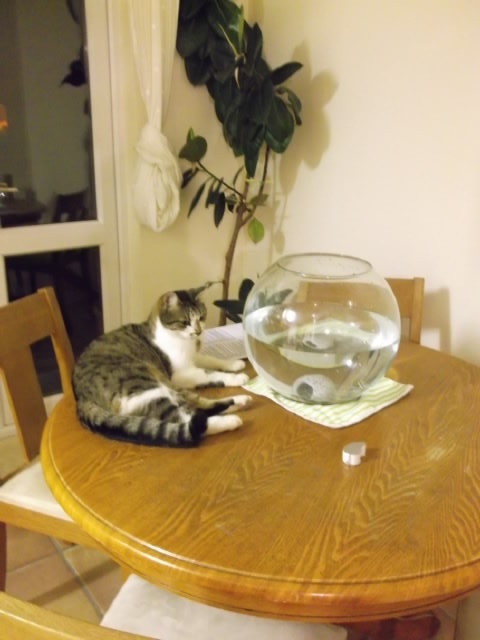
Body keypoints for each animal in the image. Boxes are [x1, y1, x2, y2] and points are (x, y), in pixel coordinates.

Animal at [72, 283, 252, 447]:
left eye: (201, 317)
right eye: (185, 322)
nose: (198, 332)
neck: (182, 341)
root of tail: (81, 398)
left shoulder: (192, 358)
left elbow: (210, 359)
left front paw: (234, 364)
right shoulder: (179, 373)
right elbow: (208, 372)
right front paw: (237, 376)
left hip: (167, 387)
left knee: (195, 406)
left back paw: (240, 401)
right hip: (147, 386)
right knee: (187, 420)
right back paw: (230, 420)